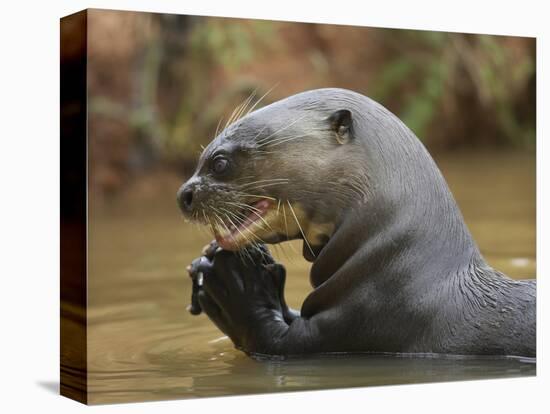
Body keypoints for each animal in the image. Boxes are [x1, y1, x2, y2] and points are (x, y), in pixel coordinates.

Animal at [176, 88, 536, 360]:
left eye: (219, 163)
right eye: (202, 158)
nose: (183, 194)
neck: (399, 270)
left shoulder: (361, 325)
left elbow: (267, 338)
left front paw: (234, 282)